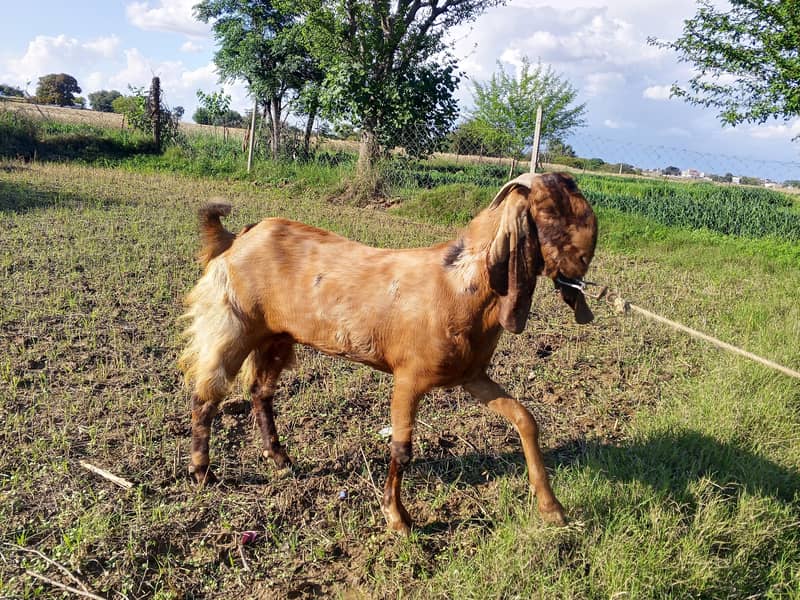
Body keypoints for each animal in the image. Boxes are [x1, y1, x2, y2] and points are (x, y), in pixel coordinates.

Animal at [179, 172, 598, 533]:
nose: (582, 261)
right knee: (206, 396)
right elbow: (402, 449)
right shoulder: (408, 377)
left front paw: (552, 509)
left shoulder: (472, 376)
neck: (458, 284)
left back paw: (279, 458)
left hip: (276, 337)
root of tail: (234, 237)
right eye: (546, 210)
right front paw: (398, 519)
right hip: (231, 325)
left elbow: (525, 419)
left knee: (260, 392)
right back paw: (202, 473)